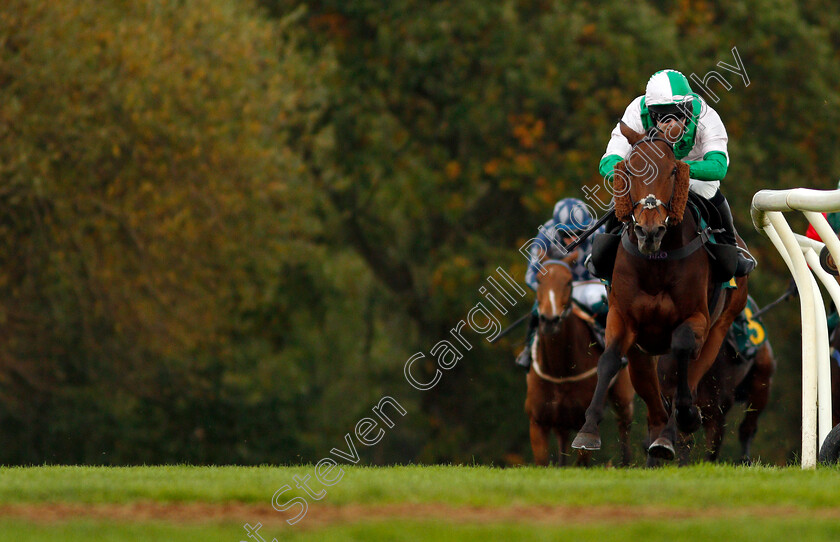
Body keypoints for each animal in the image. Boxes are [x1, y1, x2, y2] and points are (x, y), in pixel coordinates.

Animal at [520, 253, 632, 466]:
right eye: (539, 280)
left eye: (568, 281)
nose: (550, 320)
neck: (560, 369)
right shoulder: (537, 423)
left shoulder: (582, 421)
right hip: (561, 425)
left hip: (623, 396)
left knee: (624, 426)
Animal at [572, 124, 748, 464]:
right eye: (630, 169)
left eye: (672, 171)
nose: (649, 231)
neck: (656, 262)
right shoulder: (622, 317)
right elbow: (609, 359)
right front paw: (587, 430)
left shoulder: (697, 319)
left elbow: (681, 355)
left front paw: (682, 423)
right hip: (642, 351)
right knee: (654, 401)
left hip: (719, 328)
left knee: (686, 379)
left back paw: (670, 434)